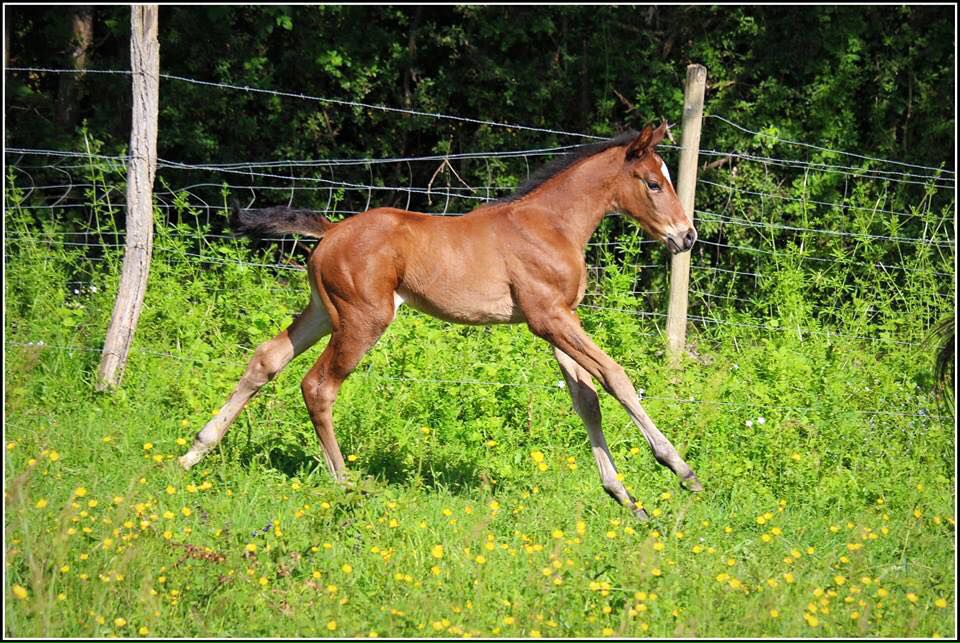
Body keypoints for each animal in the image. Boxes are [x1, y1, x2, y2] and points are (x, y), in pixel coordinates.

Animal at [178, 122, 701, 519]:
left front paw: (626, 498)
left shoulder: (558, 320)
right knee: (318, 386)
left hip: (324, 312)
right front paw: (679, 469)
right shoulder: (548, 318)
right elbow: (617, 377)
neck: (551, 225)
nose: (687, 236)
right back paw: (346, 484)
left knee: (266, 359)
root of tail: (331, 231)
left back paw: (192, 453)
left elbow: (586, 400)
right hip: (363, 319)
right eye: (653, 183)